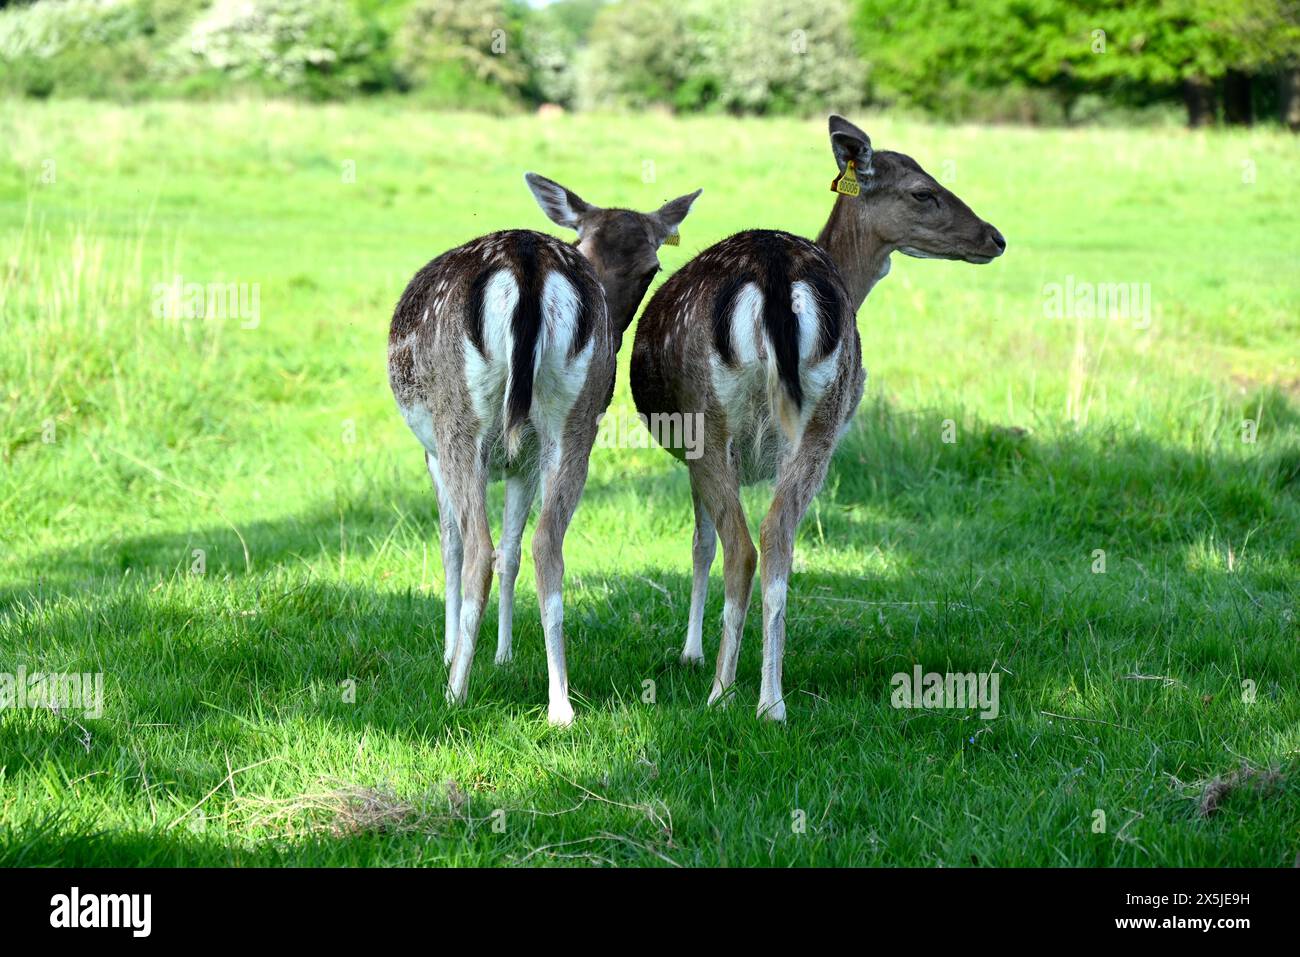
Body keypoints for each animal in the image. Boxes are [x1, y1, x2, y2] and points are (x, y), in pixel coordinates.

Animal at [388, 173, 701, 725]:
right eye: (587, 247)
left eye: (651, 268)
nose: (615, 332)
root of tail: (528, 265)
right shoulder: (525, 462)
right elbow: (512, 552)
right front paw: (504, 656)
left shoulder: (432, 453)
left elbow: (451, 545)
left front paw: (452, 652)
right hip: (573, 424)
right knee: (545, 544)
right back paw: (560, 706)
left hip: (458, 423)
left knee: (477, 547)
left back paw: (455, 692)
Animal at [629, 115, 1005, 721]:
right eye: (923, 192)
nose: (995, 237)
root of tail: (775, 275)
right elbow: (705, 541)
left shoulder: (693, 449)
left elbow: (700, 542)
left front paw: (691, 655)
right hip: (818, 419)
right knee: (775, 536)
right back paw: (768, 702)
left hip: (712, 421)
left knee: (745, 544)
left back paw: (726, 693)